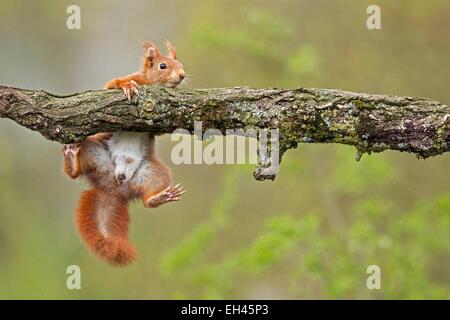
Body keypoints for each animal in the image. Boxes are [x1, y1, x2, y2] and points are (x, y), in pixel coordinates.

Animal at [61, 41, 185, 266]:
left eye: (180, 64)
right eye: (162, 66)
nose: (182, 75)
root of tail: (113, 188)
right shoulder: (119, 82)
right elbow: (113, 84)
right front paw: (127, 86)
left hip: (153, 173)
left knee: (147, 199)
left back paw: (158, 197)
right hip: (93, 152)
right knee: (74, 172)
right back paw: (72, 161)